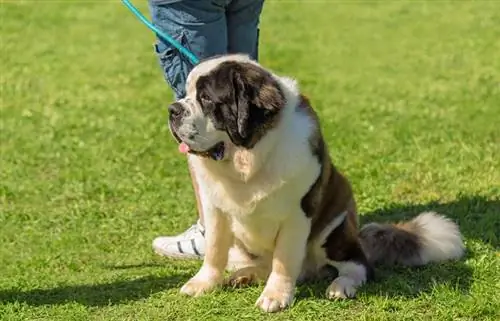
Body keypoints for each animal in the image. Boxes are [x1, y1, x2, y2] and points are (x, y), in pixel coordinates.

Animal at [167, 53, 464, 312]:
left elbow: (284, 260)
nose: (173, 109)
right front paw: (203, 283)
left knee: (359, 266)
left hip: (333, 231)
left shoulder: (298, 214)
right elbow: (214, 250)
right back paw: (246, 274)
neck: (250, 160)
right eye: (186, 94)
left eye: (206, 98)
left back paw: (341, 286)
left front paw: (276, 296)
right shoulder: (215, 208)